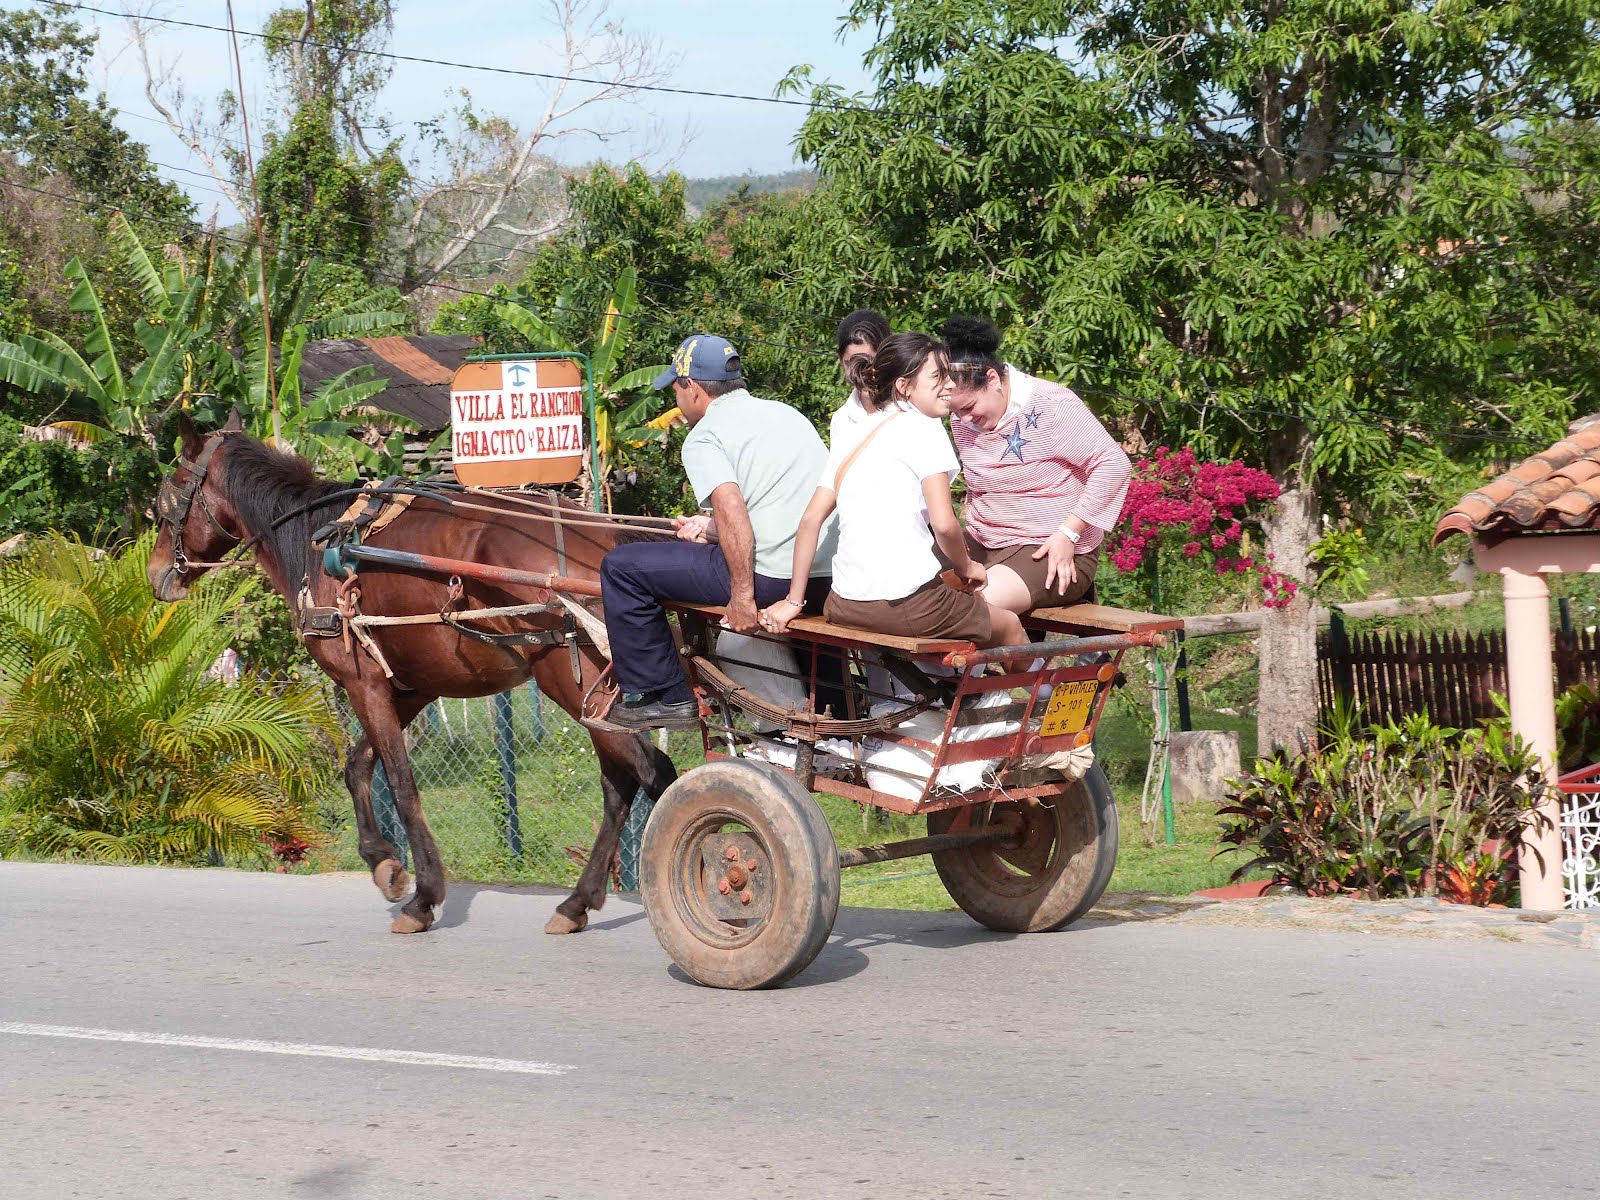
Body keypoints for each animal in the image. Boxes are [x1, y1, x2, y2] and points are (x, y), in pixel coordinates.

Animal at [147, 414, 679, 936]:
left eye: (167, 497)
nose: (155, 574)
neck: (316, 541)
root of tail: (603, 537)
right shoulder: (411, 688)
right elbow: (357, 767)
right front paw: (384, 863)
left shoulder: (363, 684)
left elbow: (401, 784)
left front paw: (421, 895)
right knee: (621, 784)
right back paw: (577, 902)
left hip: (570, 682)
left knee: (652, 771)